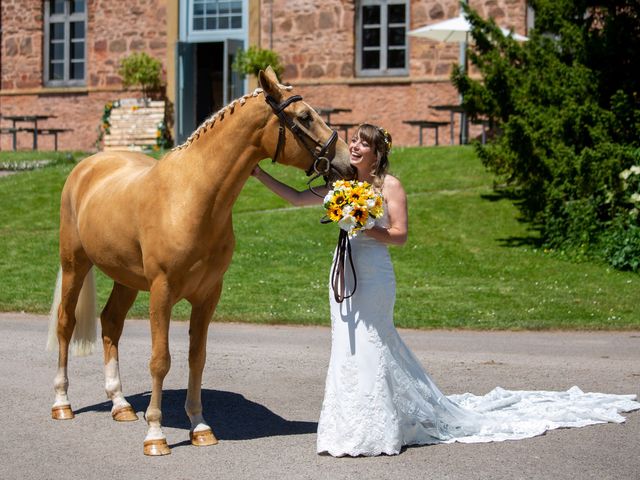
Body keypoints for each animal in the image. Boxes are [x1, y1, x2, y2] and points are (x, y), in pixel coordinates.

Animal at [47, 66, 352, 454]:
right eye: (305, 117)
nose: (347, 161)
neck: (192, 196)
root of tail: (88, 165)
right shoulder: (161, 292)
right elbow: (160, 360)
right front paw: (156, 434)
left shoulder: (208, 295)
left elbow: (197, 357)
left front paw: (200, 426)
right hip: (75, 264)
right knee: (66, 323)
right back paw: (62, 403)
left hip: (126, 279)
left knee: (111, 323)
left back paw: (120, 404)